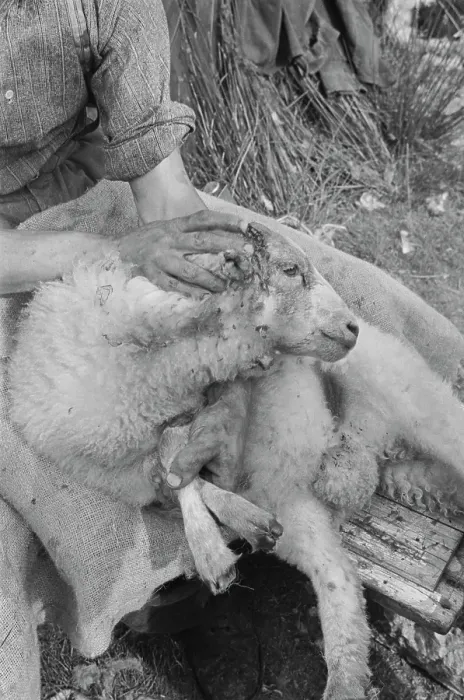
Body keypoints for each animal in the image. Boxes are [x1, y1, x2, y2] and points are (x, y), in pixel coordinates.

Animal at [8, 221, 464, 700]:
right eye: (290, 269)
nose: (352, 326)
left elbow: (177, 440)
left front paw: (213, 548)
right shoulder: (131, 465)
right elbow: (175, 464)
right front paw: (228, 535)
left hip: (403, 391)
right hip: (303, 503)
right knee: (341, 576)